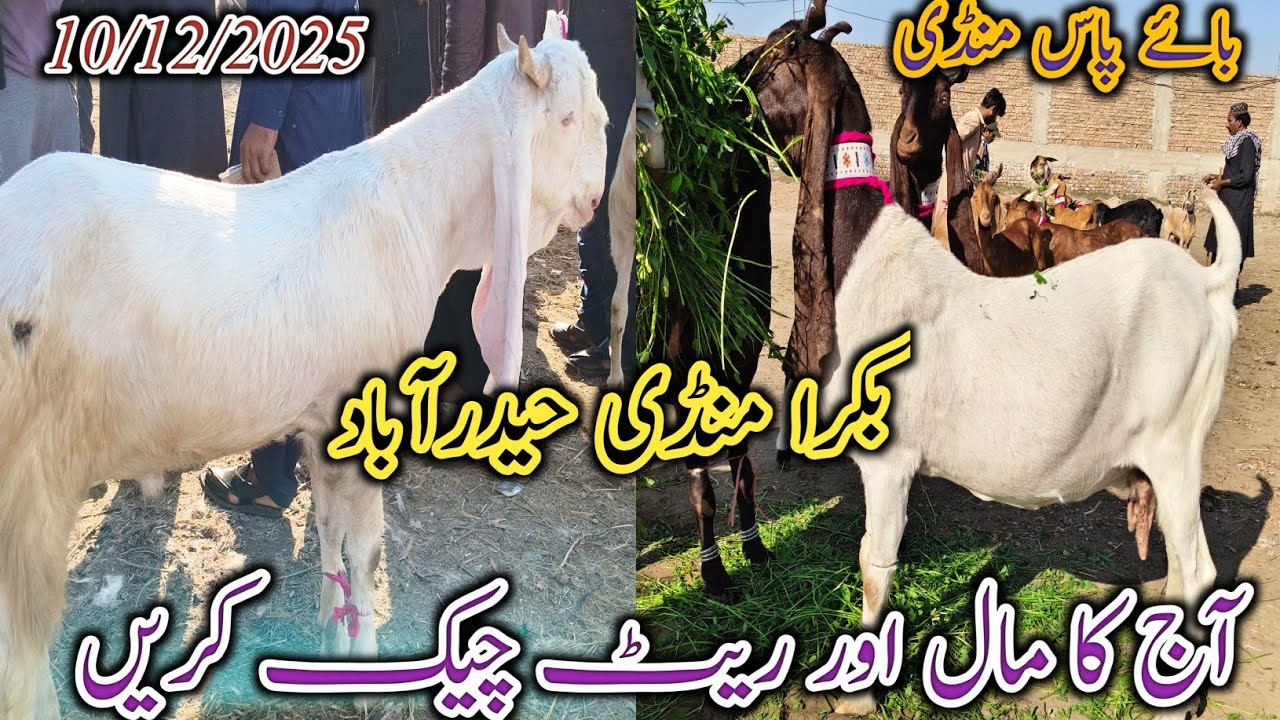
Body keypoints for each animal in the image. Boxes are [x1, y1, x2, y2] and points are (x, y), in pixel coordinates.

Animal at [0, 16, 607, 718]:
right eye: (568, 118)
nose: (595, 198)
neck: (421, 213)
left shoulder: (328, 419)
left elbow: (330, 531)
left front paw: (329, 639)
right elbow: (366, 549)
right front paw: (366, 667)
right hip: (29, 479)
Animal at [821, 192, 1242, 716]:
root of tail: (1205, 283)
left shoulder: (888, 464)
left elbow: (875, 565)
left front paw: (858, 697)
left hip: (1175, 445)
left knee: (1201, 570)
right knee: (1183, 562)